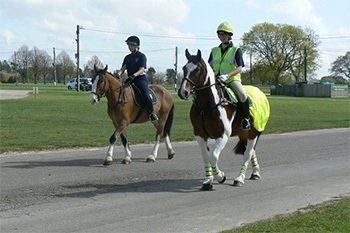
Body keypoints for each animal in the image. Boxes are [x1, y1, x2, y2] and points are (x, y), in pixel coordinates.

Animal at [178, 49, 270, 189]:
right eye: (184, 68)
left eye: (197, 69)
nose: (183, 92)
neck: (206, 106)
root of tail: (261, 93)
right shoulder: (199, 135)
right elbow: (206, 157)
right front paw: (208, 181)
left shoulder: (223, 135)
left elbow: (213, 157)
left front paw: (220, 176)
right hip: (244, 134)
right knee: (251, 152)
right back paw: (255, 173)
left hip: (254, 133)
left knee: (248, 154)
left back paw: (239, 178)